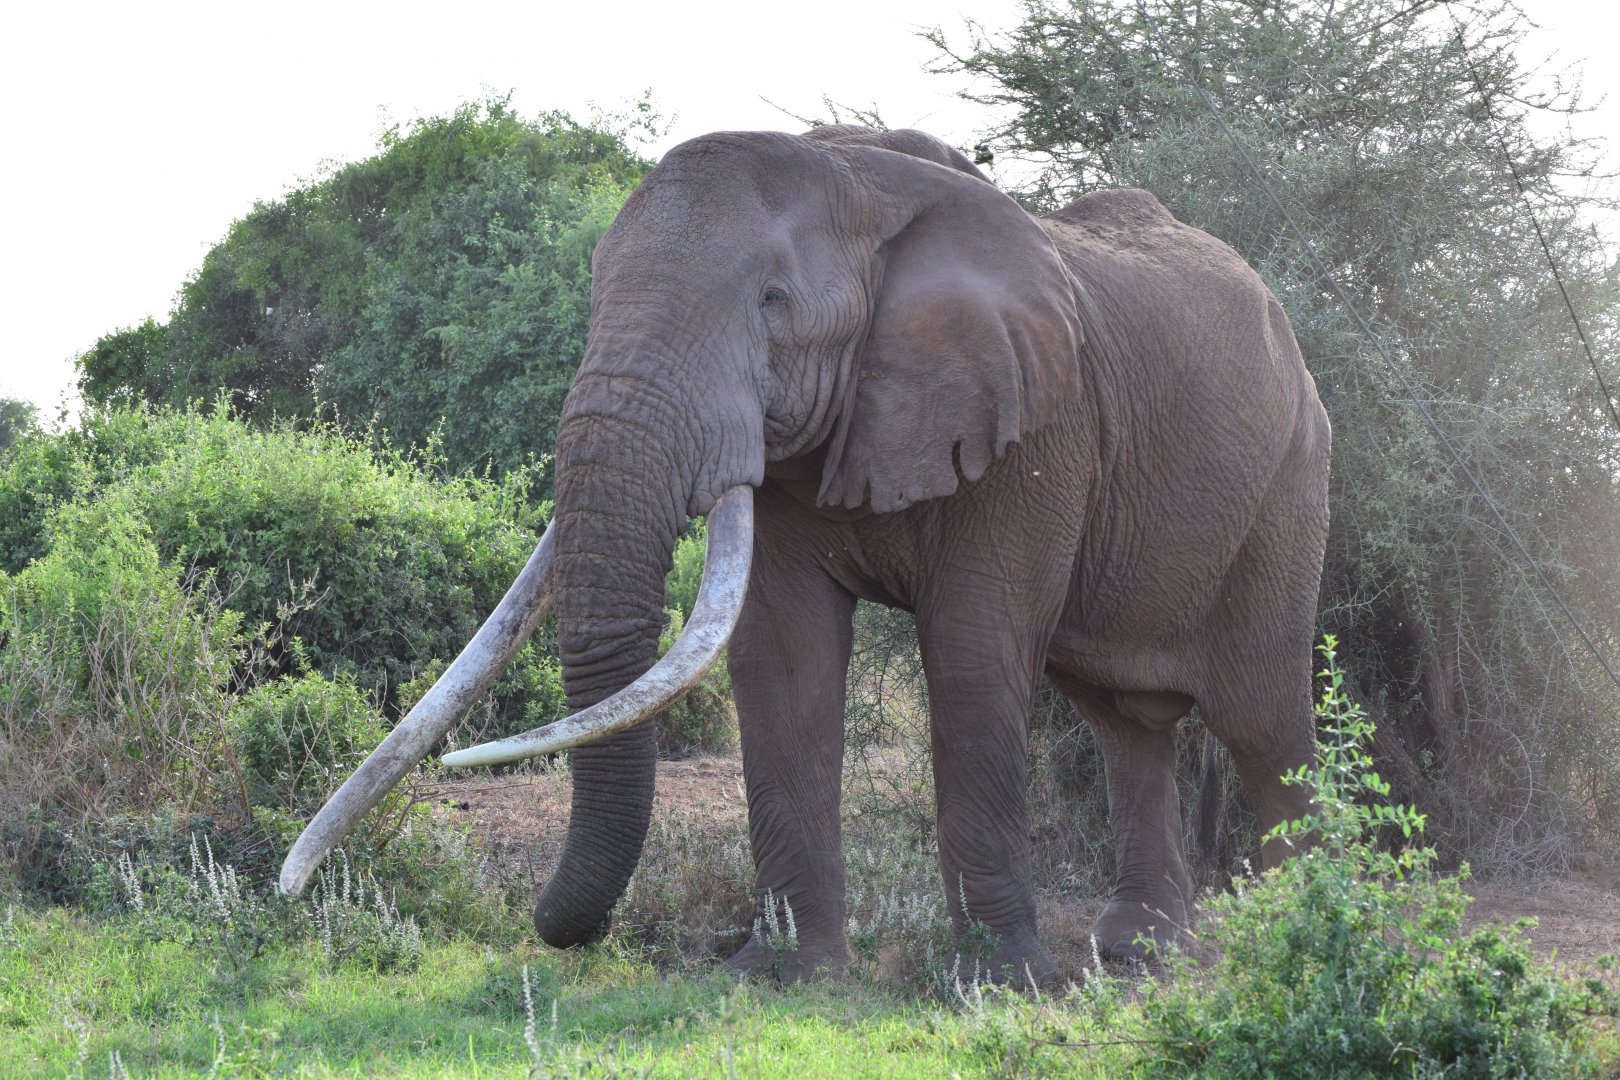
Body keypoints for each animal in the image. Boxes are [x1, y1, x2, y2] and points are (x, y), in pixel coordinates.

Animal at [282, 125, 1331, 981]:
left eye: (774, 303)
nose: (553, 929)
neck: (865, 182)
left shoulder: (1038, 419)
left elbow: (974, 651)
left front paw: (998, 982)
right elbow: (782, 653)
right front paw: (781, 975)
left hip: (1291, 479)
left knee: (1260, 720)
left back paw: (1297, 931)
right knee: (1128, 724)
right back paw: (1142, 952)